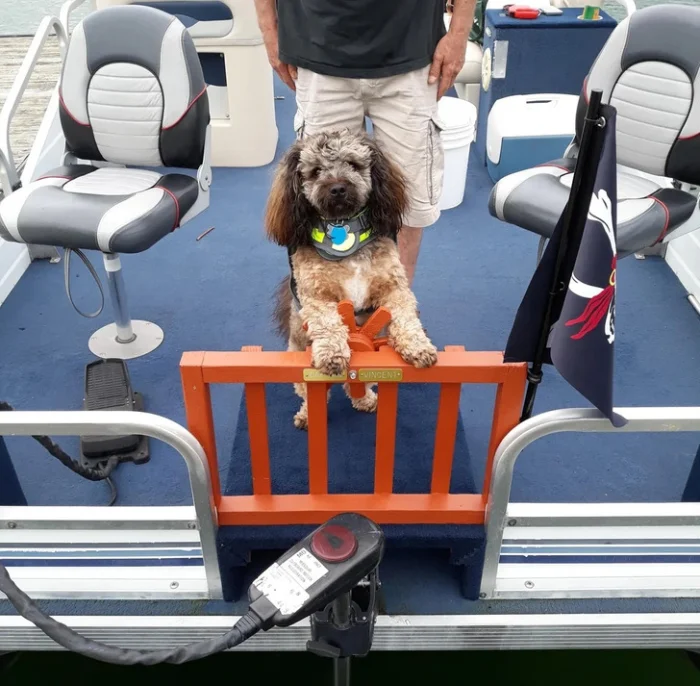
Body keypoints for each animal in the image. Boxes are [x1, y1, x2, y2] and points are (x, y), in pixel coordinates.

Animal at [264, 129, 438, 429]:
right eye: (315, 171)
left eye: (354, 165)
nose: (337, 188)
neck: (342, 225)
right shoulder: (316, 296)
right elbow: (328, 323)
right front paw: (333, 354)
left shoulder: (394, 288)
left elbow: (406, 318)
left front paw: (418, 346)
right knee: (312, 391)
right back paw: (308, 414)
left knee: (356, 382)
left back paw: (365, 399)